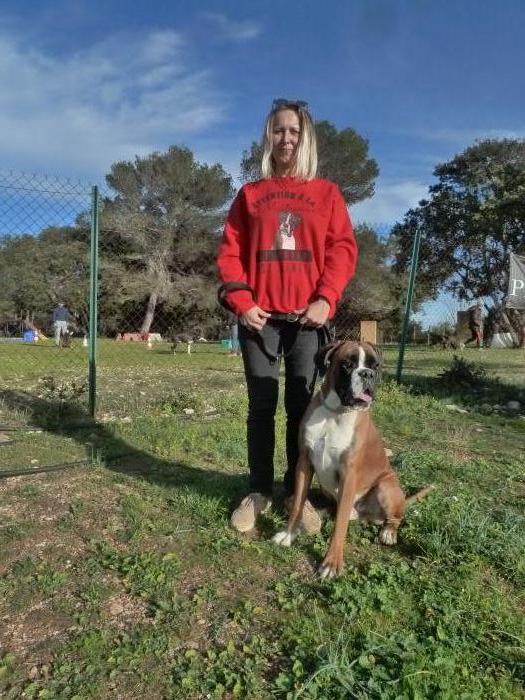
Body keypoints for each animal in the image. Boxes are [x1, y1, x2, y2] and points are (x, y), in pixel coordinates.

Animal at [273, 340, 433, 578]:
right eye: (347, 364)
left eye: (375, 366)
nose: (367, 374)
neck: (336, 412)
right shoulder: (304, 464)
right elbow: (297, 504)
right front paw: (288, 534)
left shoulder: (349, 475)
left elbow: (340, 526)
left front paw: (331, 563)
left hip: (386, 486)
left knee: (393, 518)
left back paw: (388, 533)